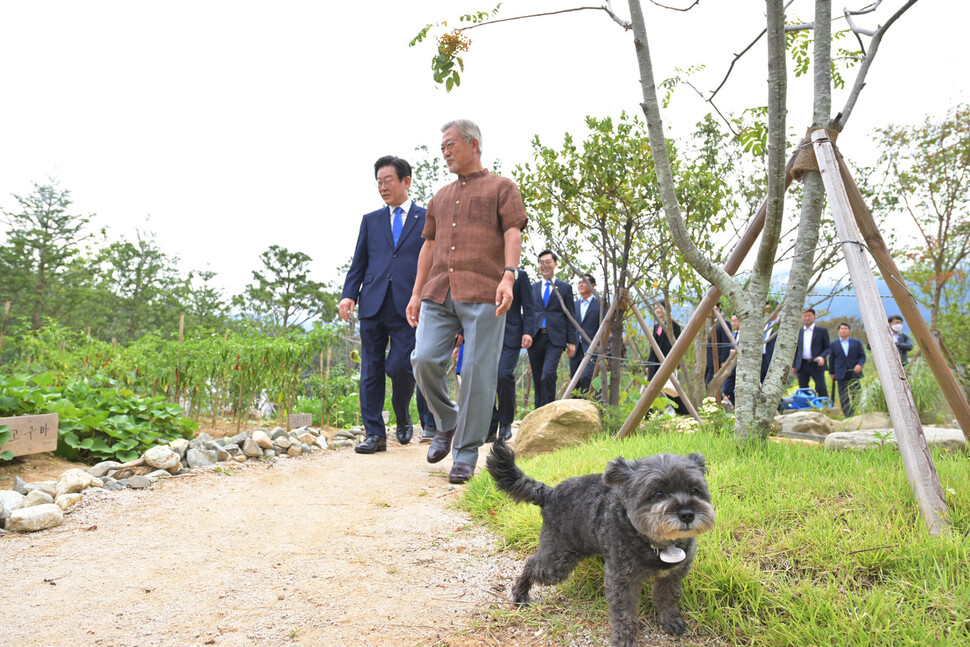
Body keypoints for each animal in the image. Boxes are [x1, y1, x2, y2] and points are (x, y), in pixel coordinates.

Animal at [488, 438, 716, 644]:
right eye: (657, 494)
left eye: (694, 490)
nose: (687, 514)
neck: (654, 543)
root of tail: (549, 492)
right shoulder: (621, 579)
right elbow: (624, 613)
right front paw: (624, 639)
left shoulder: (672, 574)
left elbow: (667, 597)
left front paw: (670, 621)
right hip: (558, 560)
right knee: (531, 564)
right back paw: (520, 595)